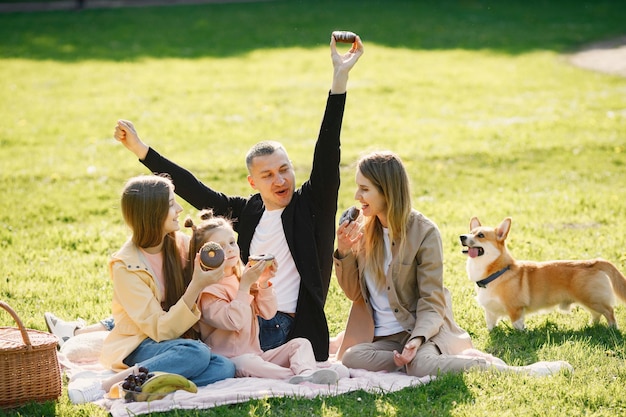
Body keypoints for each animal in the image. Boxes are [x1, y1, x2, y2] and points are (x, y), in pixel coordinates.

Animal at [458, 216, 624, 330]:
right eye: (470, 232)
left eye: (480, 235)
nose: (462, 236)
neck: (495, 272)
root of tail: (593, 262)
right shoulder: (490, 312)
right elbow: (491, 326)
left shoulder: (516, 310)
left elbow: (518, 326)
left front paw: (520, 334)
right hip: (589, 301)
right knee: (597, 314)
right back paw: (591, 326)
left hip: (592, 299)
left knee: (609, 311)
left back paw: (612, 329)